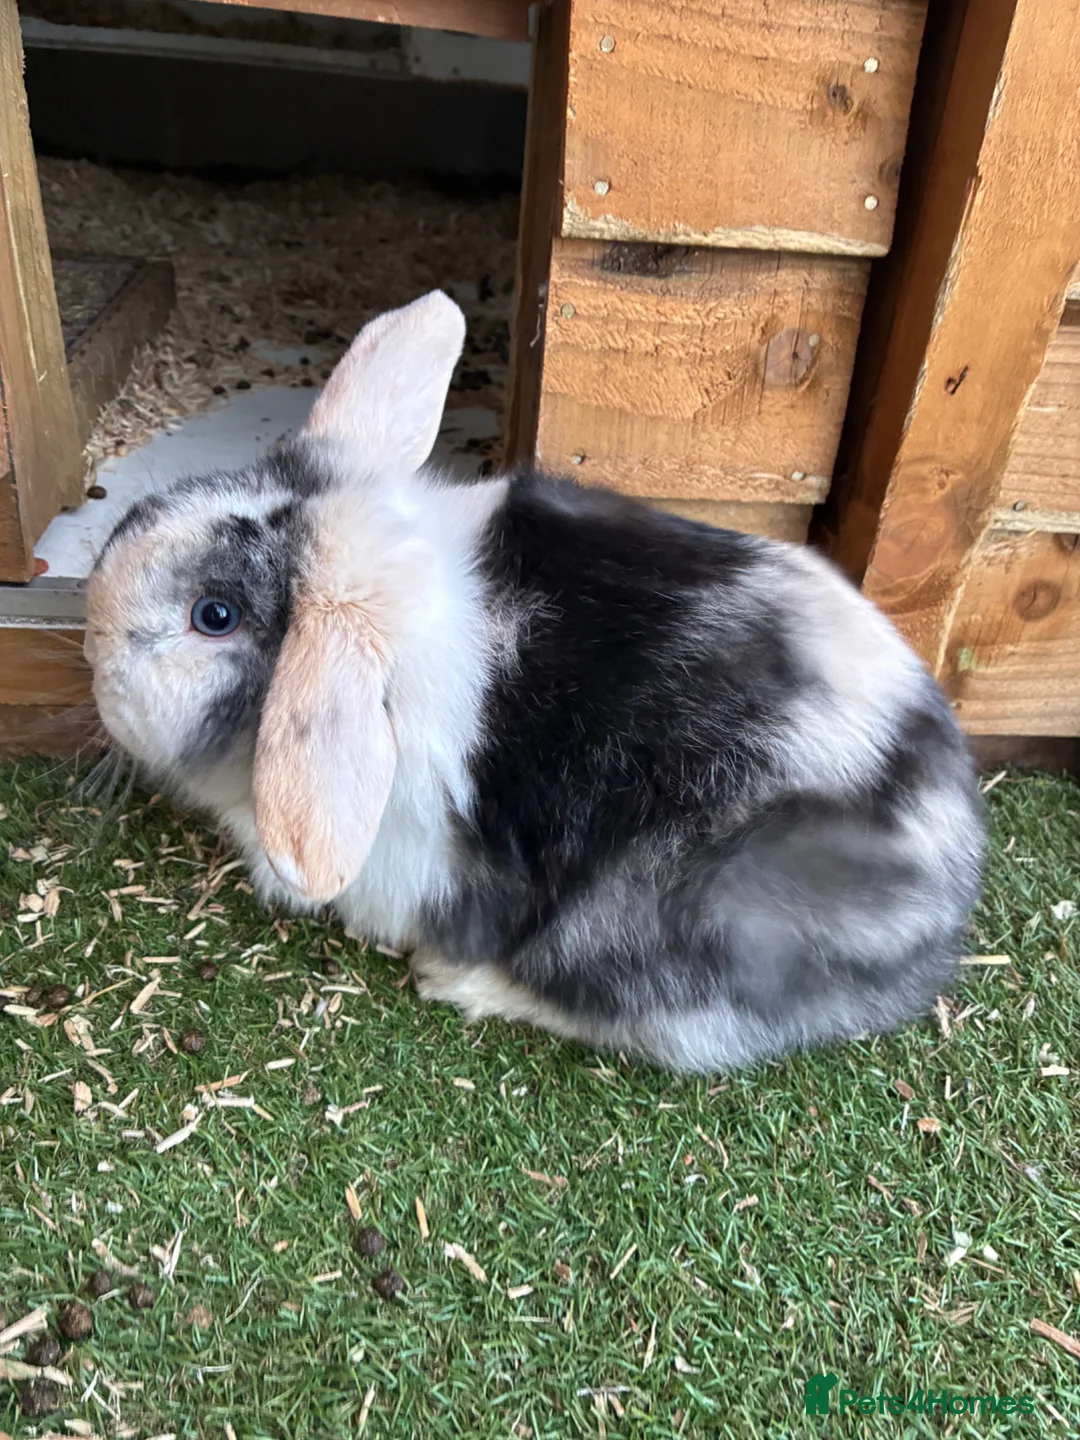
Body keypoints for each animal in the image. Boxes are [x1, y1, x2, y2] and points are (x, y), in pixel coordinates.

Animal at [84, 289, 986, 1073]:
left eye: (215, 615)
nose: (91, 647)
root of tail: (945, 902)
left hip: (650, 928)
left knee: (667, 1030)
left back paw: (461, 983)